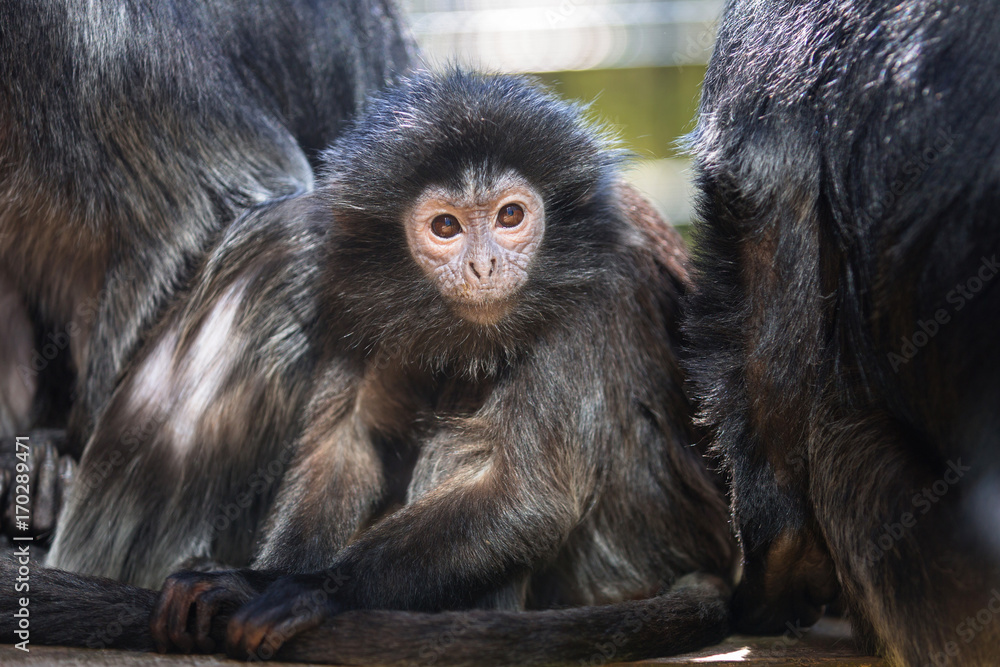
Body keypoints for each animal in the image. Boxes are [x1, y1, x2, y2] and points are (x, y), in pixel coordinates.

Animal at [2, 70, 737, 665]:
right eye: (445, 227)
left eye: (510, 216)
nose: (484, 265)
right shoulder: (344, 274)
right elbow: (346, 440)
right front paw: (260, 579)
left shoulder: (597, 285)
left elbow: (528, 494)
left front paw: (300, 589)